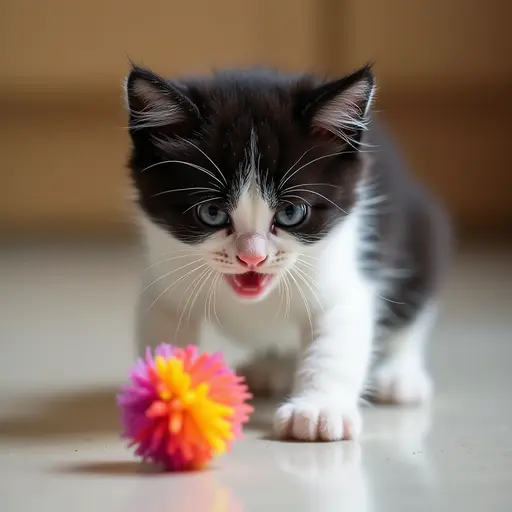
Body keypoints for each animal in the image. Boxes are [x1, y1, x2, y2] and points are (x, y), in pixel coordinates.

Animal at [123, 63, 448, 440]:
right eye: (211, 213)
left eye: (291, 213)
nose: (252, 256)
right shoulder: (165, 273)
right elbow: (165, 331)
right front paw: (170, 399)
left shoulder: (344, 267)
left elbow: (336, 334)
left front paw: (320, 408)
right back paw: (271, 366)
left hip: (422, 232)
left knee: (410, 313)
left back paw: (399, 374)